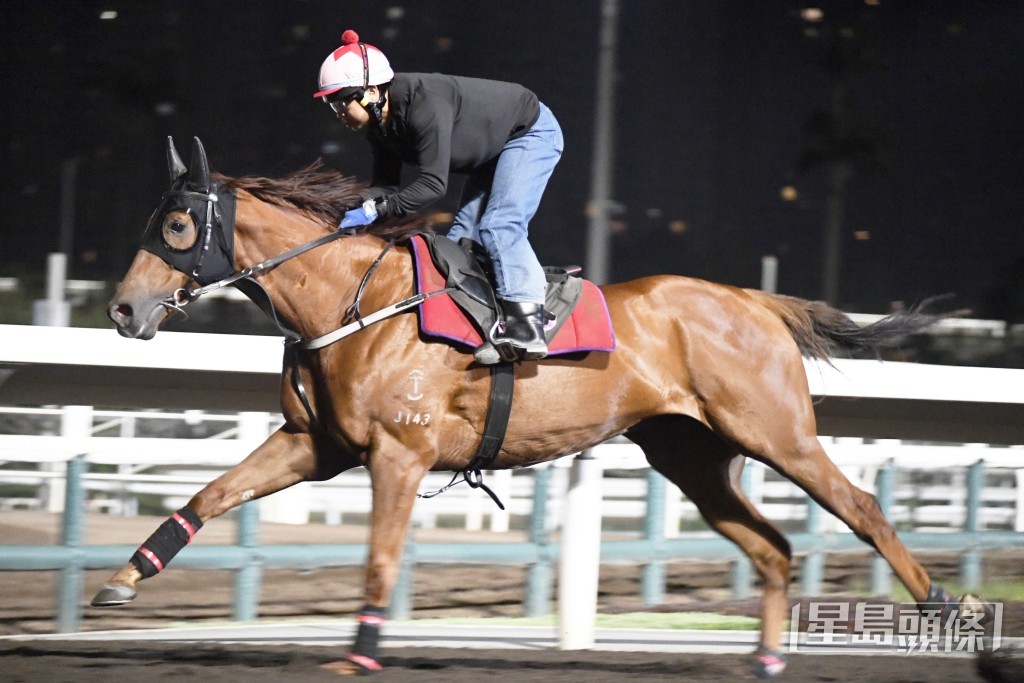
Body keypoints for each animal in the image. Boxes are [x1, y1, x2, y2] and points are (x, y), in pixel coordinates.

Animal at [95, 137, 982, 677]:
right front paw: (122, 580)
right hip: (690, 453)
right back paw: (766, 657)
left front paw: (360, 650)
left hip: (777, 431)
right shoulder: (316, 443)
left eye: (179, 224)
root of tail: (756, 301)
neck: (355, 302)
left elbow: (380, 555)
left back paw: (946, 606)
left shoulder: (399, 453)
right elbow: (210, 493)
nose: (123, 310)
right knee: (770, 546)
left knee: (862, 505)